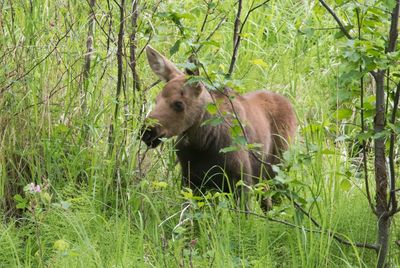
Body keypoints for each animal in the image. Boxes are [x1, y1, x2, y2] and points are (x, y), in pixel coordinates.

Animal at [141, 46, 296, 209]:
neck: (202, 143)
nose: (147, 132)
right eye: (156, 100)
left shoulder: (242, 180)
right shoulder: (191, 181)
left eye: (179, 103)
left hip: (279, 166)